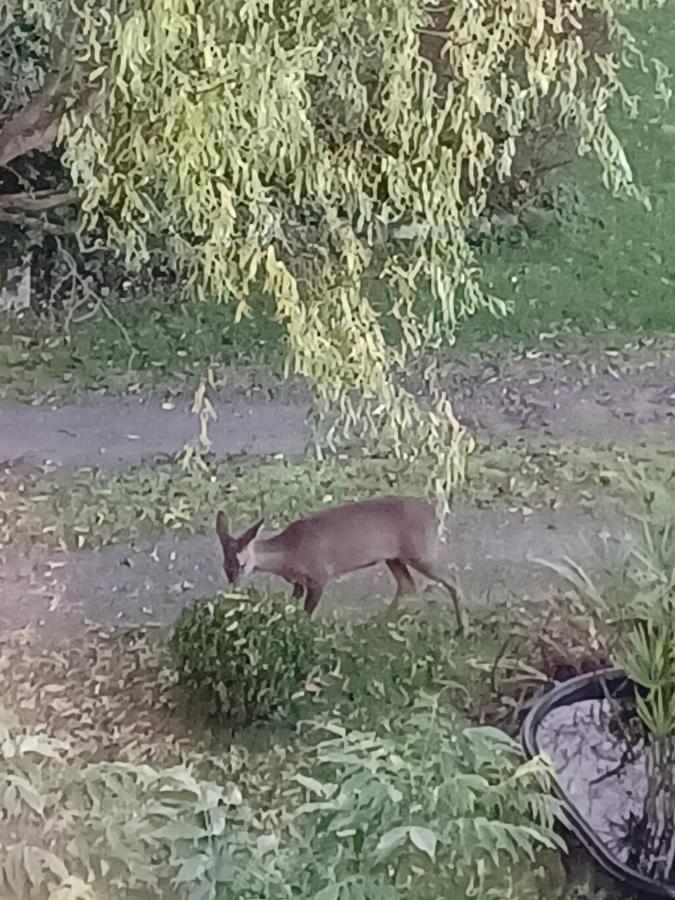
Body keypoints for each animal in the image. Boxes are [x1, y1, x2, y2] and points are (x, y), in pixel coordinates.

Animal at [217, 496, 464, 628]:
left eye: (241, 565)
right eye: (225, 567)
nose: (234, 588)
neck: (289, 552)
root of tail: (434, 514)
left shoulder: (319, 575)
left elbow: (307, 613)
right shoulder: (299, 582)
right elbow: (293, 606)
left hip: (420, 551)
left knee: (451, 578)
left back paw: (463, 628)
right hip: (393, 557)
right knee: (407, 584)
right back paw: (381, 623)